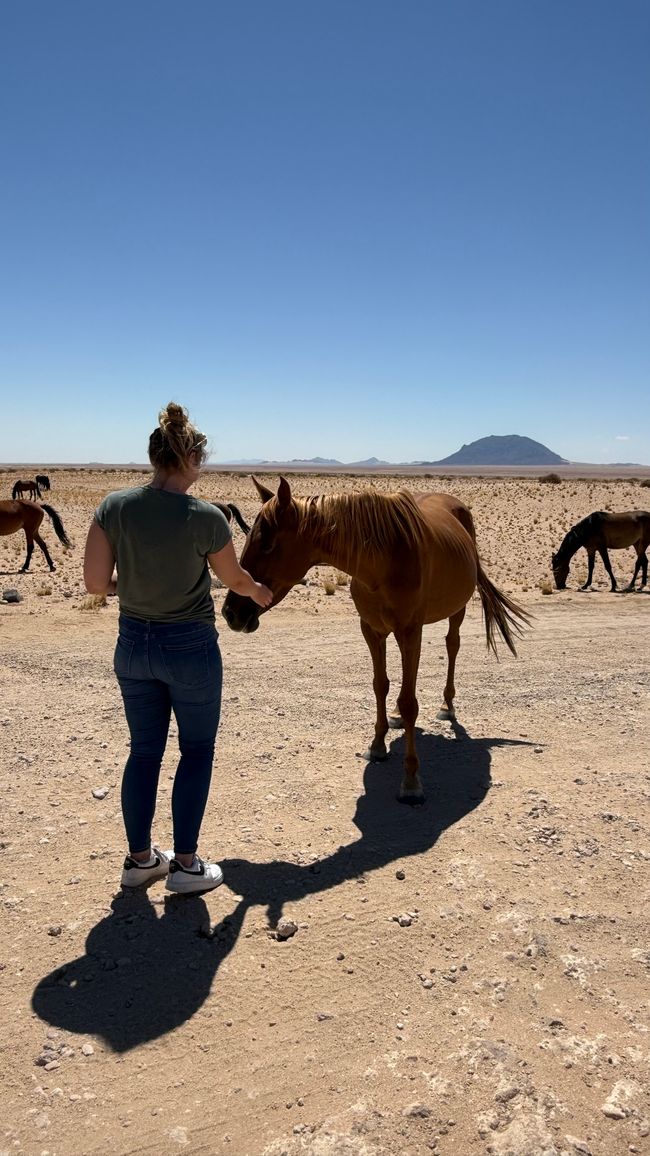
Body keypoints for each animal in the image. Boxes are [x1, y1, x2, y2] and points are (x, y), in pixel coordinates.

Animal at [222, 477, 530, 803]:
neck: (385, 561)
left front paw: (411, 780)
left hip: (455, 611)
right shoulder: (371, 630)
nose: (230, 613)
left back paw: (447, 705)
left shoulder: (410, 631)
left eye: (267, 544)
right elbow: (380, 686)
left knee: (452, 645)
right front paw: (378, 744)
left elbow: (409, 701)